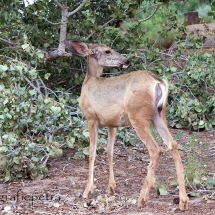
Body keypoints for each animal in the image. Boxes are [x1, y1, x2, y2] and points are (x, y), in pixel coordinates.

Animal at [65, 40, 188, 210]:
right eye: (107, 51)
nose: (126, 61)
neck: (89, 81)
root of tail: (158, 82)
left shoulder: (91, 118)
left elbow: (92, 153)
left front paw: (87, 191)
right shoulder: (112, 124)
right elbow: (109, 152)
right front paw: (111, 187)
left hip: (137, 115)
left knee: (156, 149)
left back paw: (142, 198)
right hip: (159, 114)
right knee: (173, 144)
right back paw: (183, 201)